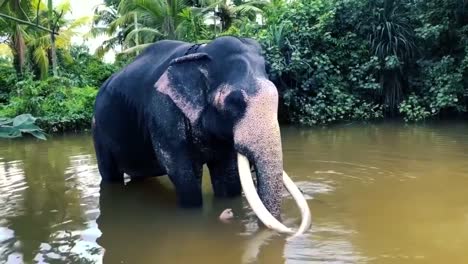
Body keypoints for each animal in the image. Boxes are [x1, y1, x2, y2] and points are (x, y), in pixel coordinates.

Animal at [91, 36, 310, 234]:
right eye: (234, 101)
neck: (200, 51)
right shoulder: (164, 115)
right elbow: (182, 173)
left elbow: (227, 174)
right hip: (98, 132)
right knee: (111, 176)